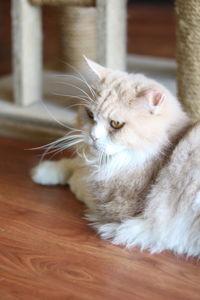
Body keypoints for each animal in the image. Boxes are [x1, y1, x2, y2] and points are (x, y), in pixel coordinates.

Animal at [31, 58, 200, 258]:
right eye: (90, 115)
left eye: (116, 124)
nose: (93, 136)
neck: (167, 147)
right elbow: (75, 163)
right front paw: (42, 171)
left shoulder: (118, 206)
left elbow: (79, 179)